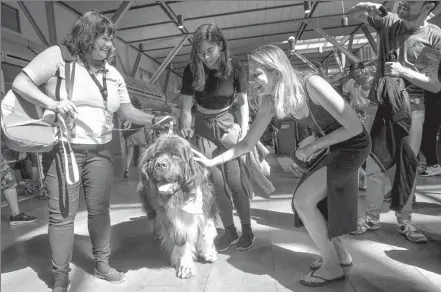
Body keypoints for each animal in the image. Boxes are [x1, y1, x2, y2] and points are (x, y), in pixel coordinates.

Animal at [138, 134, 217, 278]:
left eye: (176, 156)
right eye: (157, 155)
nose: (160, 165)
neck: (183, 195)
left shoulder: (206, 207)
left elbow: (207, 230)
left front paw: (208, 252)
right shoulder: (173, 218)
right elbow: (182, 241)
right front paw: (185, 266)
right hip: (150, 204)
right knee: (154, 218)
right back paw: (157, 233)